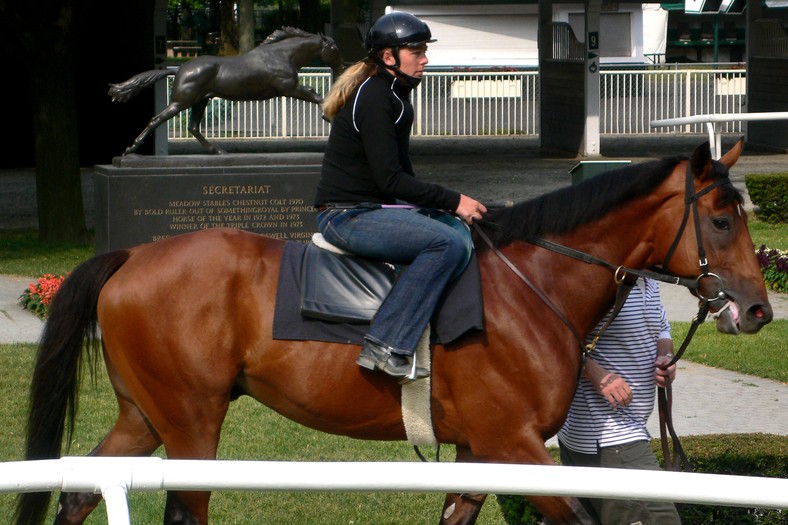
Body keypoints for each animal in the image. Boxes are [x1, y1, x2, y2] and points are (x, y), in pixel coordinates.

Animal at [15, 140, 772, 524]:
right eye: (722, 219)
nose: (760, 311)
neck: (533, 284)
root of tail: (130, 255)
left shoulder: (479, 450)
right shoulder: (516, 445)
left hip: (146, 413)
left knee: (80, 491)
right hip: (192, 425)